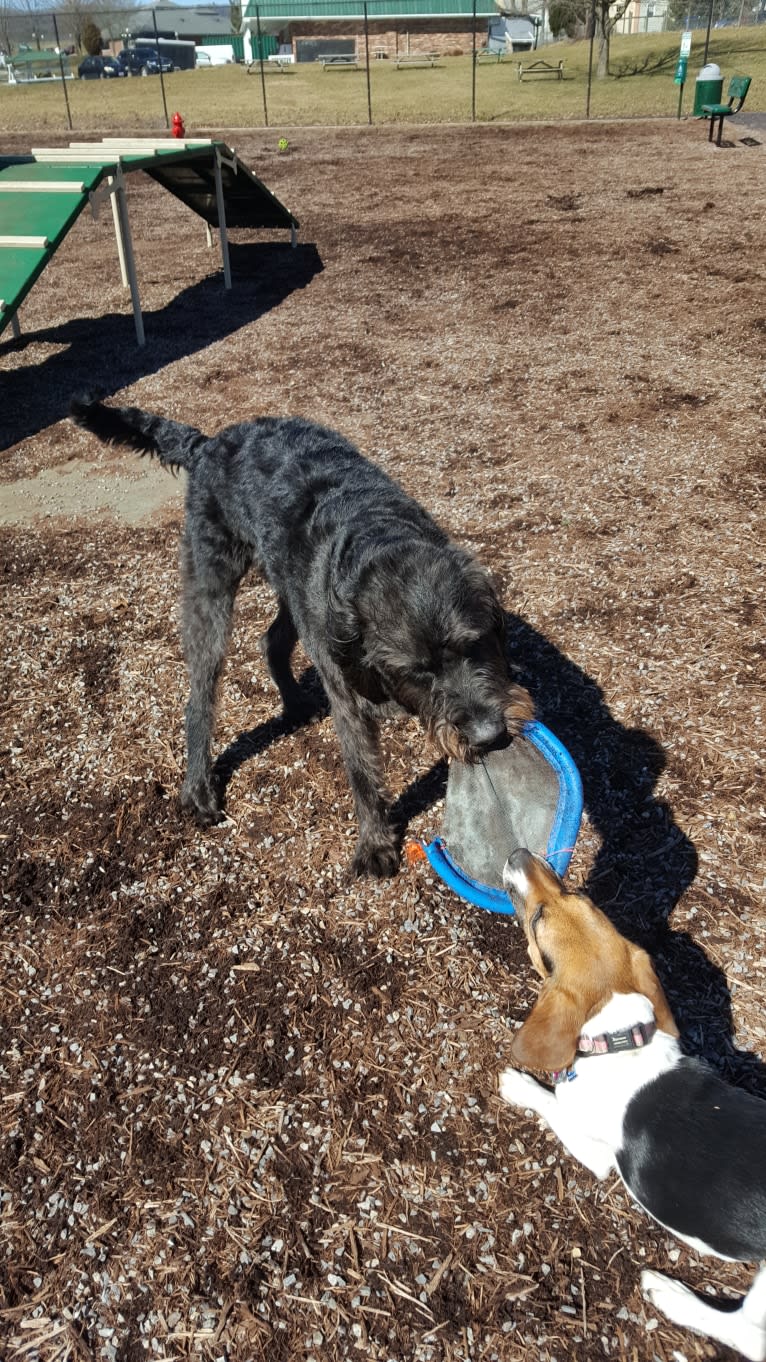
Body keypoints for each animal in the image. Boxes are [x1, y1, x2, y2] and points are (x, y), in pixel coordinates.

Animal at [68, 397, 531, 877]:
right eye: (418, 671)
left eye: (475, 644)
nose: (490, 736)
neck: (378, 539)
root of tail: (208, 443)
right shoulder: (347, 698)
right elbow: (362, 772)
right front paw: (376, 843)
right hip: (210, 586)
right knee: (200, 693)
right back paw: (198, 787)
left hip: (295, 593)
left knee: (270, 641)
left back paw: (292, 703)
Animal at [496, 844, 763, 1356]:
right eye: (576, 894)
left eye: (537, 919)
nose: (518, 853)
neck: (619, 1037)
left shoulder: (596, 1153)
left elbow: (552, 1102)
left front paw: (519, 1084)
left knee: (748, 1332)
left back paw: (672, 1295)